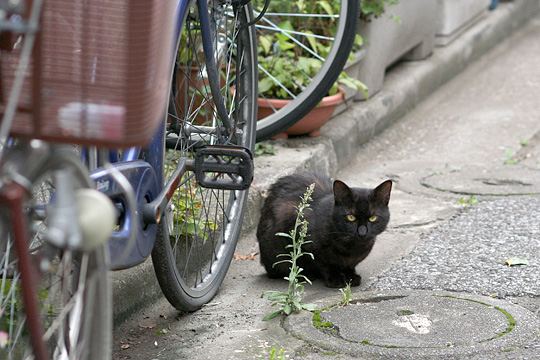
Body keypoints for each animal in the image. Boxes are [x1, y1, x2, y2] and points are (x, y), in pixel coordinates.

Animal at [255, 173, 390, 288]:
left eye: (373, 218)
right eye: (350, 217)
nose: (362, 232)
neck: (350, 248)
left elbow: (349, 266)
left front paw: (351, 276)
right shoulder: (308, 245)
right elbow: (324, 264)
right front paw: (335, 279)